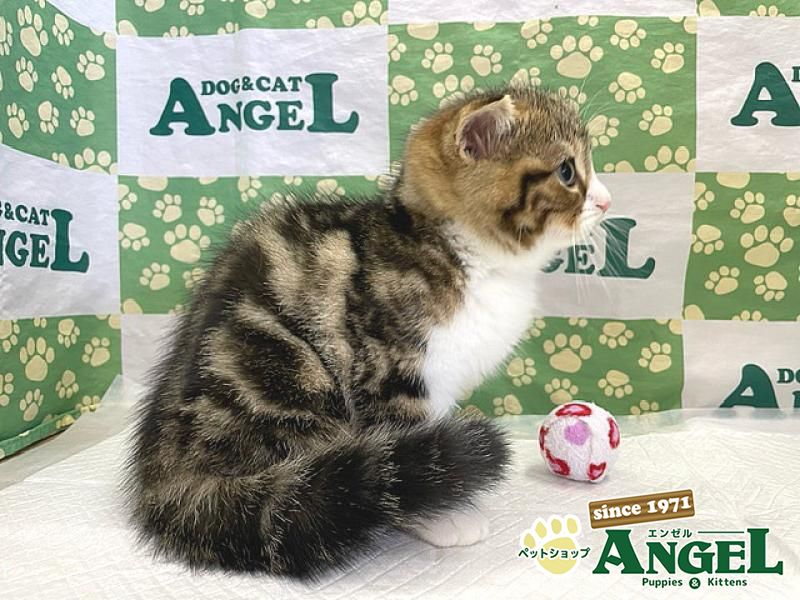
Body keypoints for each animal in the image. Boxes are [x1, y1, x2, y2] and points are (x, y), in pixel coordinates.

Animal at [125, 83, 611, 579]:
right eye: (567, 171)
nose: (607, 201)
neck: (457, 255)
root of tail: (166, 479)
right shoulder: (388, 368)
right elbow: (401, 443)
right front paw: (440, 514)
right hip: (291, 373)